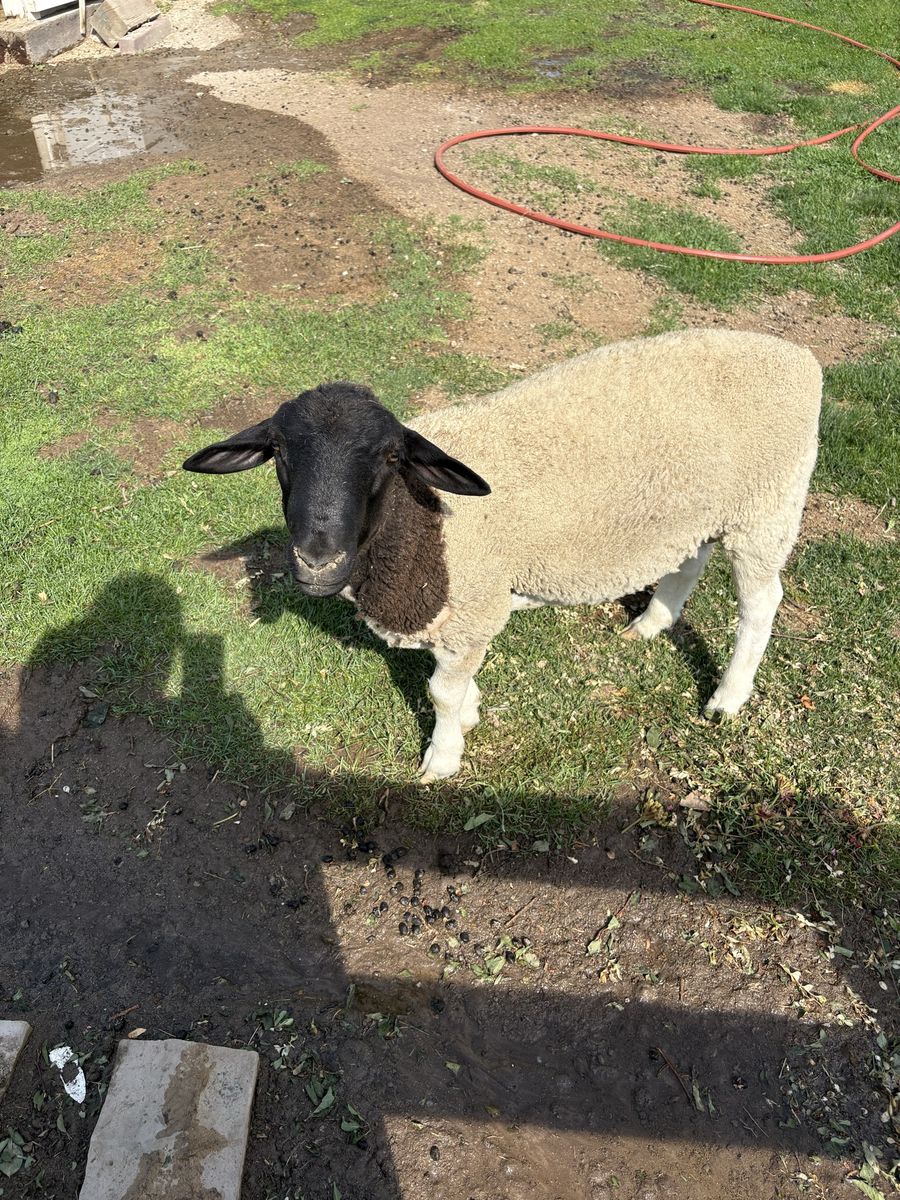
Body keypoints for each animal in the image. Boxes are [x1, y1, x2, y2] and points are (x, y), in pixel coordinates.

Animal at [183, 329, 821, 782]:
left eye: (391, 457)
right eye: (279, 453)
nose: (317, 559)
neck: (421, 524)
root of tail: (801, 360)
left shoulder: (474, 602)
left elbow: (440, 692)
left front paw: (442, 757)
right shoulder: (461, 613)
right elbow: (452, 680)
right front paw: (470, 710)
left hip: (767, 508)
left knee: (761, 604)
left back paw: (728, 698)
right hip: (695, 510)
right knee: (687, 561)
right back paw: (651, 623)